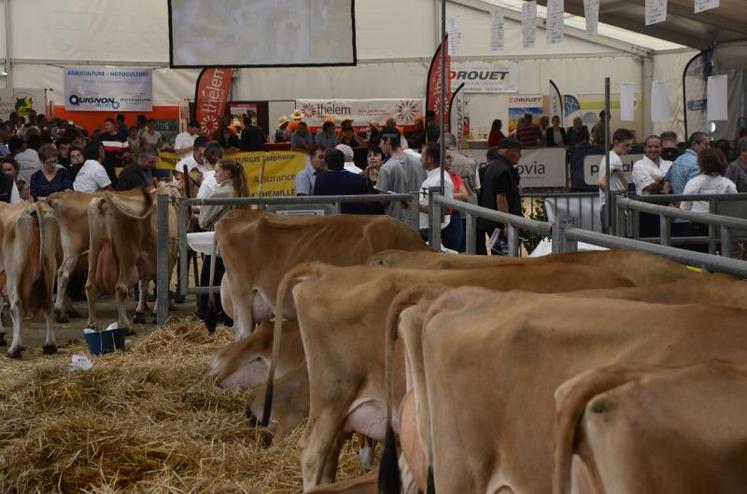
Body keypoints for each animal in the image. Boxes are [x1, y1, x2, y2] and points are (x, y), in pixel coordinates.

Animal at [0, 203, 58, 356]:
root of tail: (35, 205)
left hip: (14, 269)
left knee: (16, 305)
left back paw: (15, 348)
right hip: (51, 264)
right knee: (49, 304)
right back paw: (50, 345)